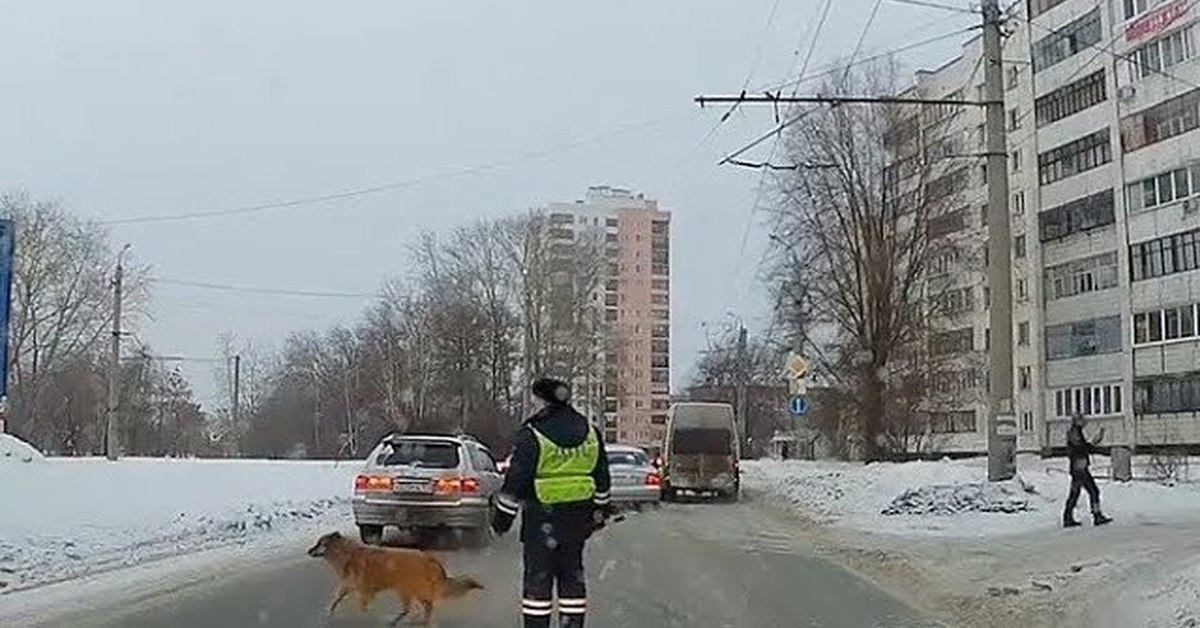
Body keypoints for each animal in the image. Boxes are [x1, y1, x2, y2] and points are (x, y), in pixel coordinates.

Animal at [304, 533, 482, 624]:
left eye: (320, 544)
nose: (308, 551)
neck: (346, 553)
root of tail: (429, 558)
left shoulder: (363, 590)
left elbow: (362, 606)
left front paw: (364, 616)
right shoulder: (347, 585)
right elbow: (336, 599)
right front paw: (328, 612)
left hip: (407, 587)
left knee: (424, 605)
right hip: (409, 589)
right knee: (423, 605)